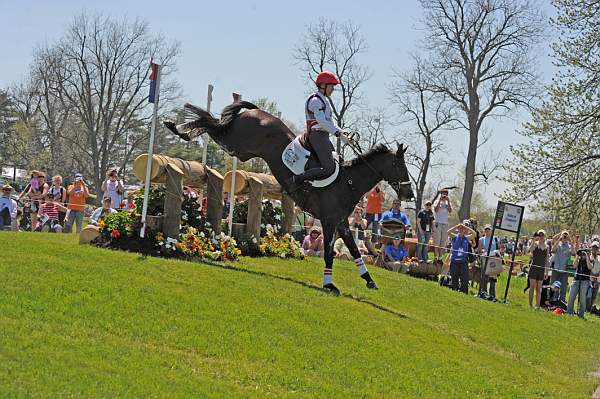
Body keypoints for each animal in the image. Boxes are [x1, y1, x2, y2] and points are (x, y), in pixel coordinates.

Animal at [166, 101, 414, 296]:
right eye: (400, 166)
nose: (409, 194)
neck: (348, 183)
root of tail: (256, 111)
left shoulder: (342, 223)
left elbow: (354, 250)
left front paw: (369, 280)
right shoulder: (329, 222)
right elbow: (328, 254)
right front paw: (329, 284)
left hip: (240, 150)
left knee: (213, 125)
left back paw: (178, 128)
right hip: (236, 144)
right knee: (211, 125)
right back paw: (177, 127)